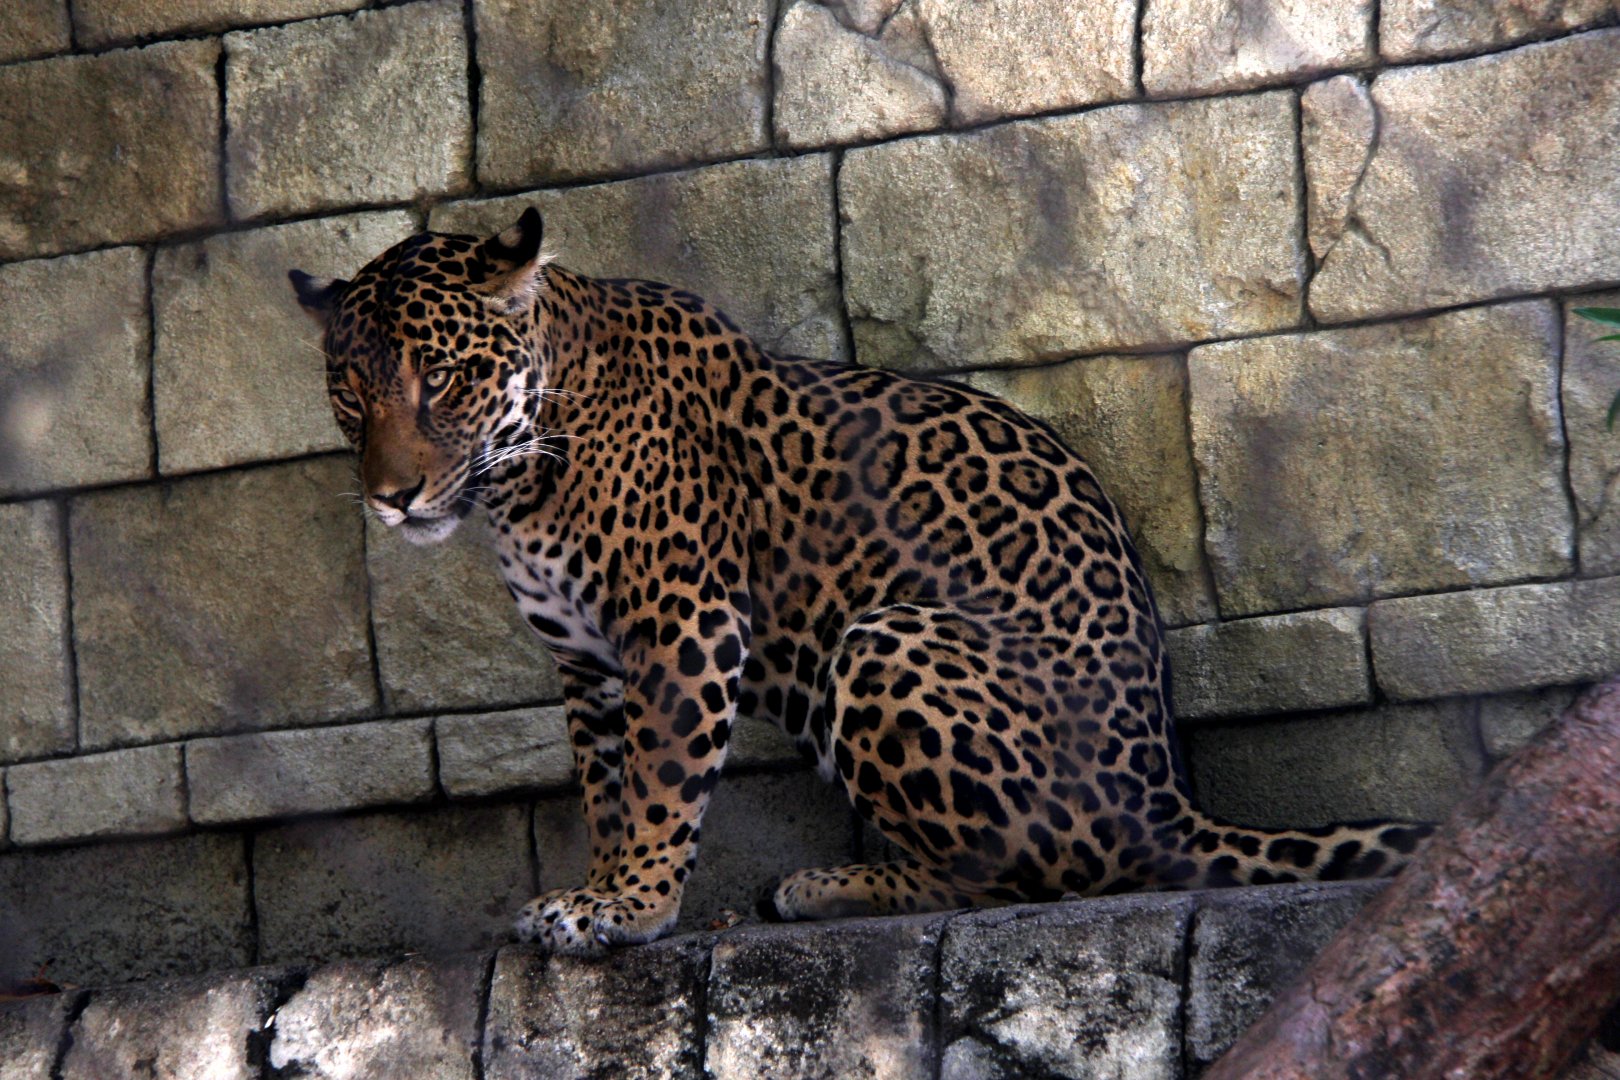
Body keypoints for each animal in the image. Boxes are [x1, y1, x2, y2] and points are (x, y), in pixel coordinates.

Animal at [291, 208, 1432, 956]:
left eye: (441, 380)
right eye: (350, 393)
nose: (392, 498)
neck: (521, 478)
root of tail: (1169, 802)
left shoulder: (681, 621)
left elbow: (661, 778)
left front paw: (633, 908)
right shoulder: (587, 664)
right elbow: (606, 787)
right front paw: (597, 887)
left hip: (886, 641)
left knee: (1017, 880)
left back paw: (829, 884)